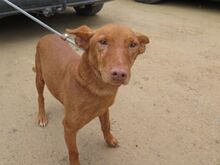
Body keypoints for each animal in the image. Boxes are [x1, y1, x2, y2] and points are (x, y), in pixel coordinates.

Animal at [34, 23, 150, 164]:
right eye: (103, 42)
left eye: (133, 44)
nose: (119, 74)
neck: (95, 88)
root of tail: (47, 36)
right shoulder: (69, 127)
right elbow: (74, 152)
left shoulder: (104, 109)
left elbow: (106, 125)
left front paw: (109, 140)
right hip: (39, 78)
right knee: (40, 97)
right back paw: (42, 116)